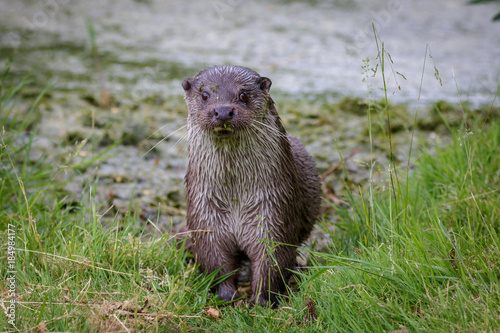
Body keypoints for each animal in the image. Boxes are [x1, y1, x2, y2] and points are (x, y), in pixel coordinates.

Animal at [182, 65, 318, 306]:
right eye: (205, 95)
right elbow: (215, 260)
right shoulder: (206, 216)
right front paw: (227, 295)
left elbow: (272, 259)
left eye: (243, 94)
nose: (223, 111)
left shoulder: (274, 211)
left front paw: (261, 300)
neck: (235, 197)